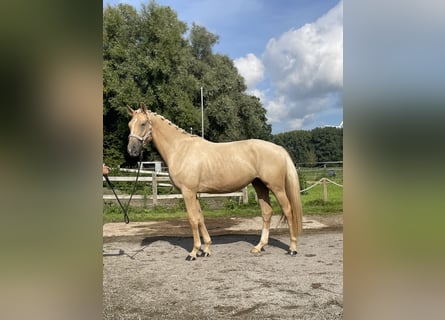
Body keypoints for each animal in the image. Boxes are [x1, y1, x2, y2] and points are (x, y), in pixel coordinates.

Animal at [126, 102, 304, 260]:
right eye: (129, 125)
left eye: (143, 124)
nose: (132, 150)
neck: (180, 149)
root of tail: (278, 148)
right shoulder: (194, 193)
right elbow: (200, 218)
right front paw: (206, 249)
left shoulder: (188, 192)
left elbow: (192, 219)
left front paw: (193, 252)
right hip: (260, 186)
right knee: (267, 212)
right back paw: (259, 247)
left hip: (276, 187)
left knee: (288, 210)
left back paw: (292, 248)